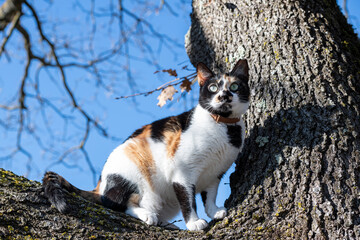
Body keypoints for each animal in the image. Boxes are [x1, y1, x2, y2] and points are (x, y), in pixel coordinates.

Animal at [42, 58, 250, 231]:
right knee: (119, 204)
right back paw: (148, 215)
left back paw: (166, 223)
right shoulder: (181, 173)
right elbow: (188, 201)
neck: (224, 127)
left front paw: (214, 210)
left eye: (234, 86)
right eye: (213, 88)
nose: (224, 96)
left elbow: (210, 195)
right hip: (133, 178)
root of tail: (99, 186)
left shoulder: (215, 173)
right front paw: (194, 223)